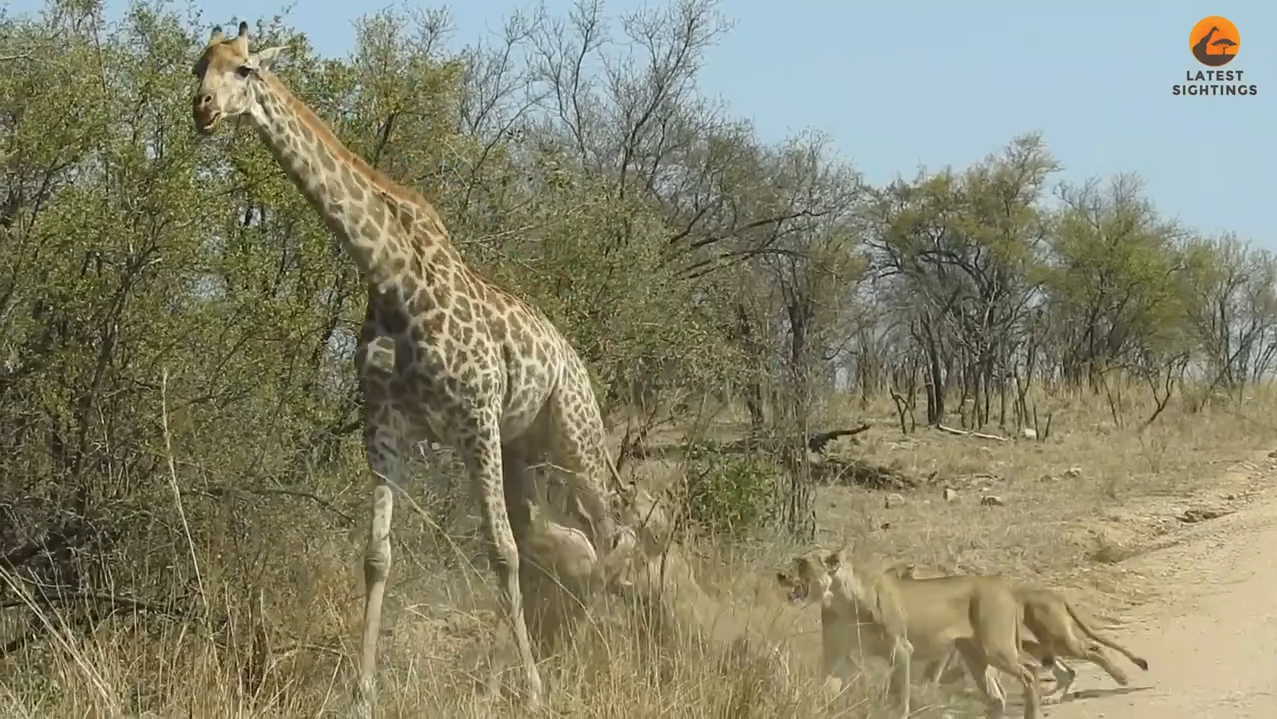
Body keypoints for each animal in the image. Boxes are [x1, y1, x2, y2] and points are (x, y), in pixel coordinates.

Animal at [188, 19, 628, 710]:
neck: (391, 276)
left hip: (573, 436)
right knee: (560, 538)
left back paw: (587, 662)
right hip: (523, 449)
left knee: (606, 532)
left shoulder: (474, 418)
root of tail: (575, 357)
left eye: (245, 70)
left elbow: (499, 553)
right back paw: (518, 669)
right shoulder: (384, 424)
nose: (203, 110)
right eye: (196, 67)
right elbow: (379, 556)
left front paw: (534, 693)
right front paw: (362, 694)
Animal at [776, 549, 1036, 715]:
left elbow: (900, 698)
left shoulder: (901, 649)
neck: (841, 600)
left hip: (996, 649)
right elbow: (828, 690)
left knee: (1029, 674)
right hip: (975, 657)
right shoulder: (834, 654)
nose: (780, 575)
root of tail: (1004, 588)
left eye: (802, 563)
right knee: (997, 697)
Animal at [893, 564, 1154, 699]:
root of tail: (1052, 593)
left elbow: (933, 673)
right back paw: (1051, 696)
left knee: (1092, 649)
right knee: (1065, 670)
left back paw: (1121, 677)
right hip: (1039, 644)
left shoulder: (948, 647)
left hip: (1058, 638)